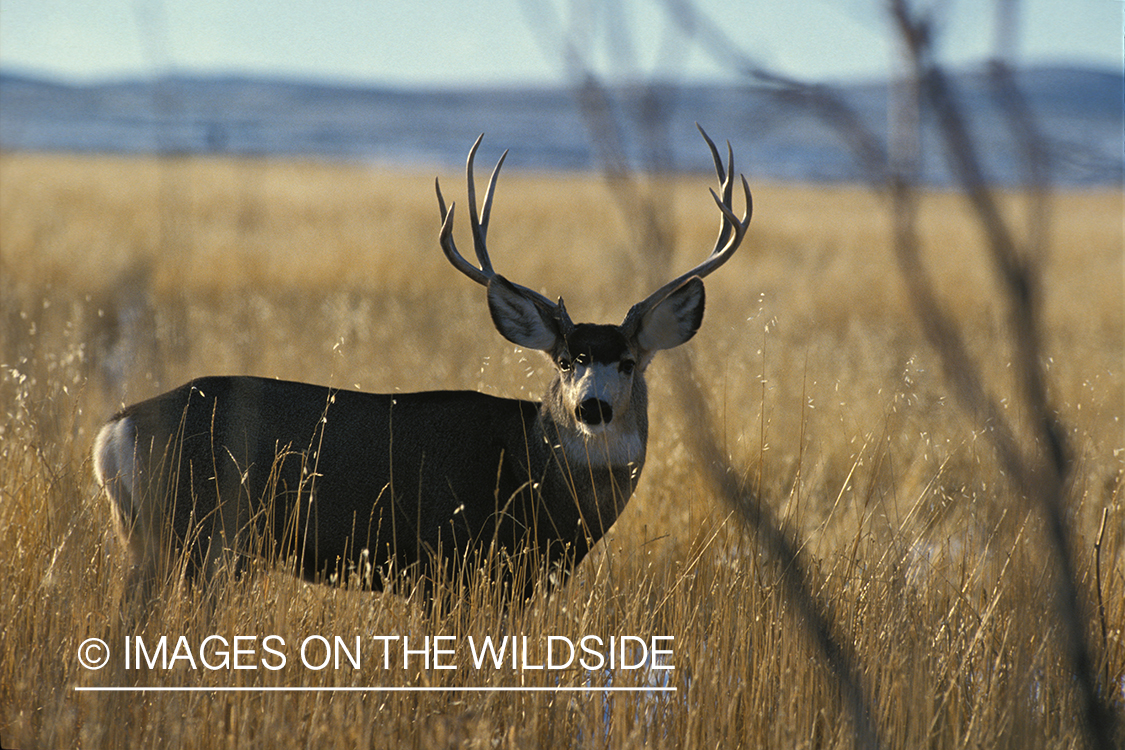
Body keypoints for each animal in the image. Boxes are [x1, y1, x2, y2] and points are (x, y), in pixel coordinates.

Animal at [92, 125, 751, 602]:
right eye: (566, 360)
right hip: (197, 535)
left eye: (630, 362)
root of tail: (116, 431)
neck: (532, 471)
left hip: (158, 540)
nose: (593, 407)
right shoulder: (449, 564)